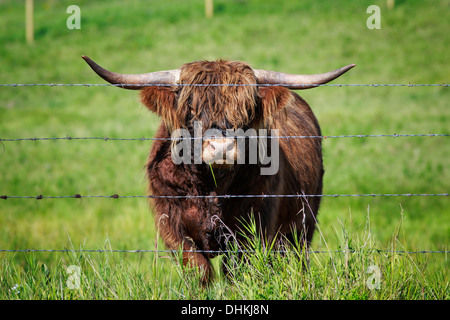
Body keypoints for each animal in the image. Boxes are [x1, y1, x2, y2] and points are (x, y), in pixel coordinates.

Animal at [81, 56, 356, 284]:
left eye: (246, 112)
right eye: (191, 112)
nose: (222, 147)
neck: (210, 187)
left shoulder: (254, 228)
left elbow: (236, 271)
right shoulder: (172, 226)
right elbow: (198, 270)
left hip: (302, 226)